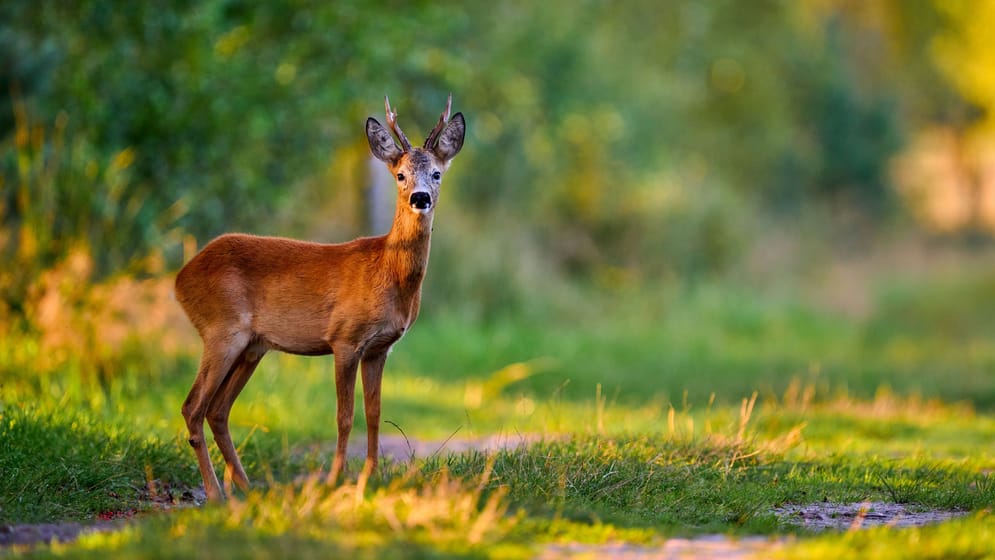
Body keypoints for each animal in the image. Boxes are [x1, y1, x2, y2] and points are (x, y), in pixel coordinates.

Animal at [173, 94, 464, 500]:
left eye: (436, 173)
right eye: (400, 175)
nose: (419, 198)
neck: (387, 272)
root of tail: (179, 278)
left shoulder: (380, 348)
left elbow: (374, 413)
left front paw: (371, 476)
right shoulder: (344, 338)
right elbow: (344, 416)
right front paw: (336, 479)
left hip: (252, 347)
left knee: (217, 409)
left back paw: (246, 488)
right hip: (221, 331)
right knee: (193, 406)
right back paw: (217, 493)